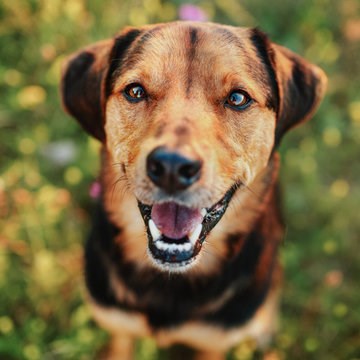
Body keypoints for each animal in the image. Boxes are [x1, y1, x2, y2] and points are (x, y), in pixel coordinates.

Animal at [61, 22, 326, 360]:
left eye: (237, 98)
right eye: (135, 91)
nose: (172, 167)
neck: (169, 281)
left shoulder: (214, 341)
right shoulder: (118, 325)